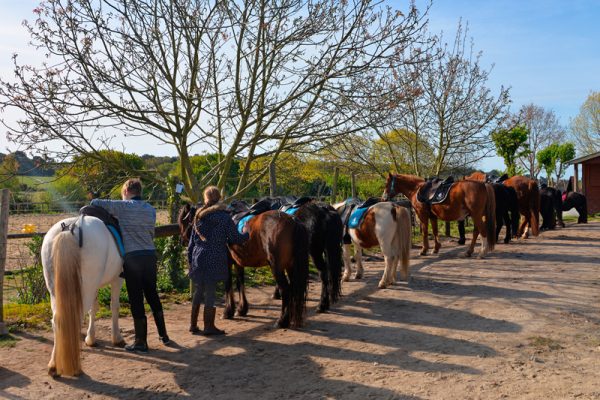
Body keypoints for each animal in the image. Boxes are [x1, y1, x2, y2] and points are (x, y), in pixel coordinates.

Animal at [41, 217, 124, 376]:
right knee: (75, 318)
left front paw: (91, 338)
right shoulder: (118, 279)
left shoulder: (95, 286)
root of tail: (70, 228)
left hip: (56, 294)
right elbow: (114, 306)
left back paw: (53, 365)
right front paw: (117, 338)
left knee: (57, 321)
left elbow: (94, 308)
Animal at [178, 205, 310, 330]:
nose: (182, 241)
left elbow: (228, 284)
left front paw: (228, 311)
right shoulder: (238, 263)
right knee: (294, 289)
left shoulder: (227, 263)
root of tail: (293, 221)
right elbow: (240, 283)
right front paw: (242, 309)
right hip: (291, 267)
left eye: (184, 222)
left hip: (277, 268)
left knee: (286, 290)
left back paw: (282, 321)